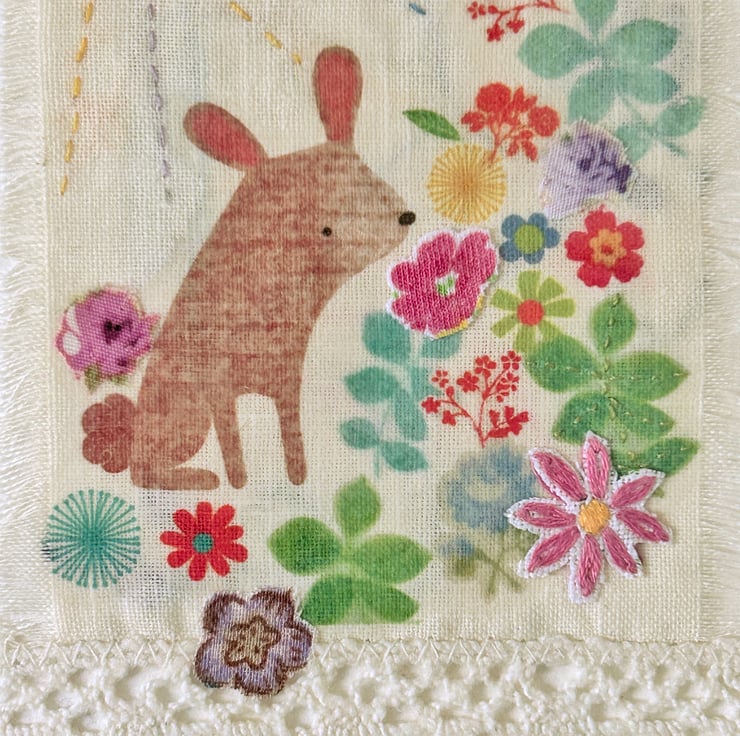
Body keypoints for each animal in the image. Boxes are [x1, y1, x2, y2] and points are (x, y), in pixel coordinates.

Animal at [81, 47, 415, 490]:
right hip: (185, 413)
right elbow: (232, 442)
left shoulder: (287, 378)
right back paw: (198, 479)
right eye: (326, 230)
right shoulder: (218, 385)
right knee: (143, 470)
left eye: (380, 188)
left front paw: (296, 475)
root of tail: (131, 431)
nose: (406, 217)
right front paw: (240, 481)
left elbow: (290, 432)